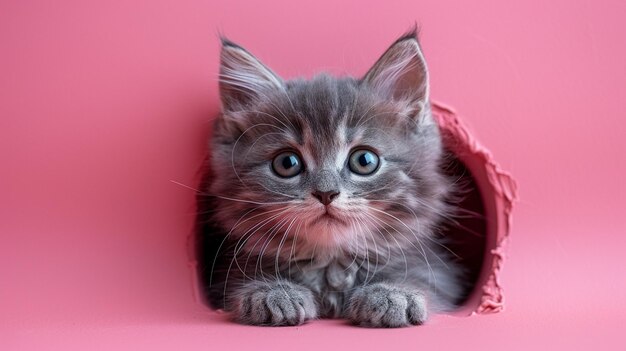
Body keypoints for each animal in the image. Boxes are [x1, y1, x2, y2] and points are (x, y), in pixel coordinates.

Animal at [195, 28, 464, 328]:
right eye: (286, 163)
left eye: (364, 161)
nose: (326, 193)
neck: (331, 264)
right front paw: (271, 291)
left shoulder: (440, 274)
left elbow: (423, 281)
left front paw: (394, 293)